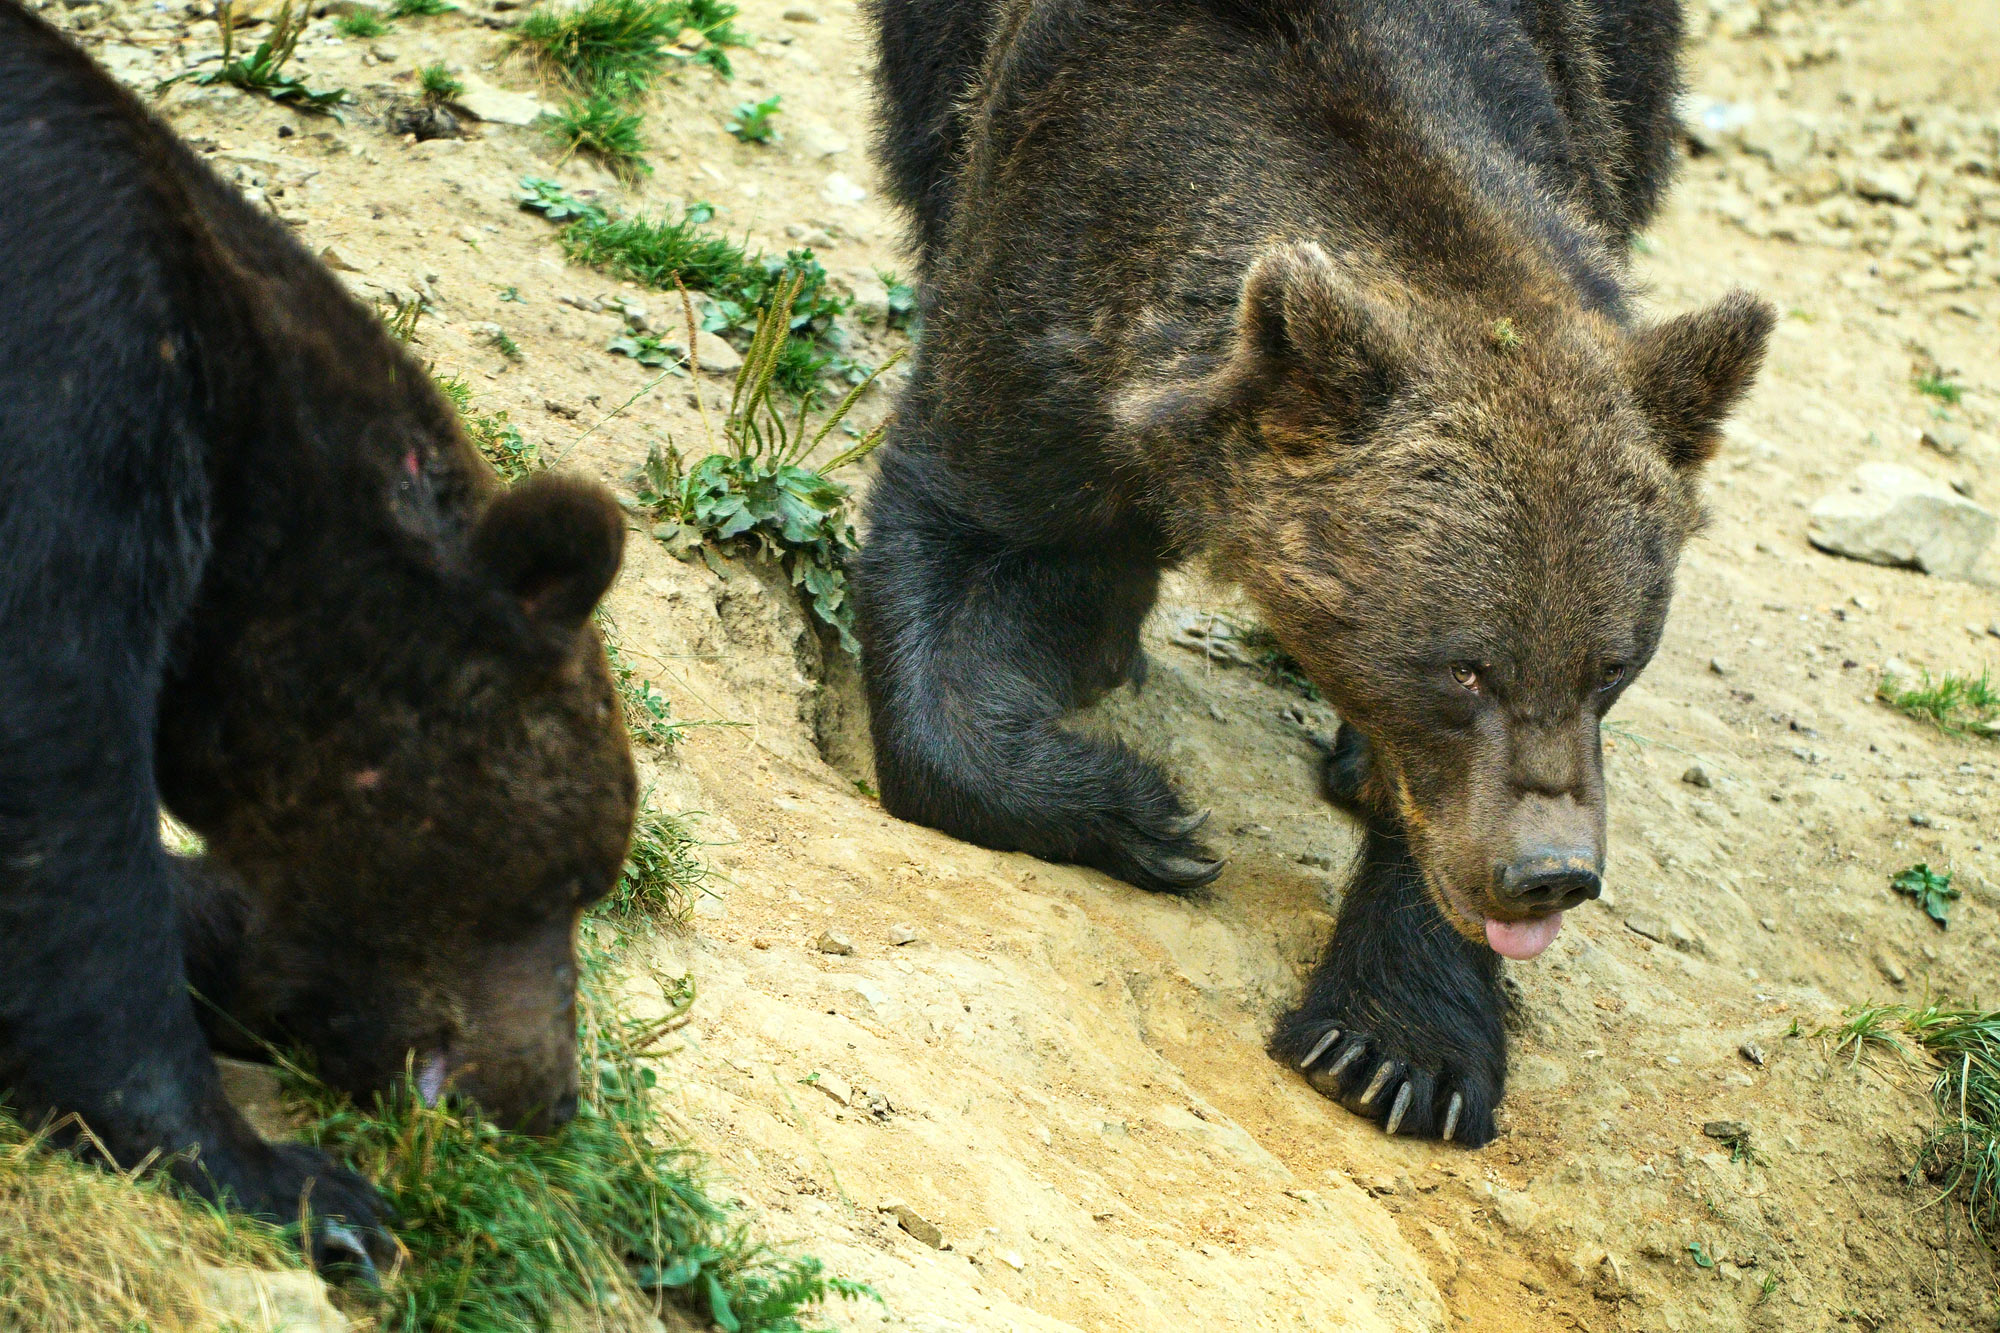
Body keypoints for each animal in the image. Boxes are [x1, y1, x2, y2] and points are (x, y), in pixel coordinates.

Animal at [852, 0, 1776, 1144]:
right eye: (1464, 667)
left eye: (1610, 665)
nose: (1548, 875)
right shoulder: (1047, 278)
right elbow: (971, 557)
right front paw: (1149, 814)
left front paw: (1394, 1044)